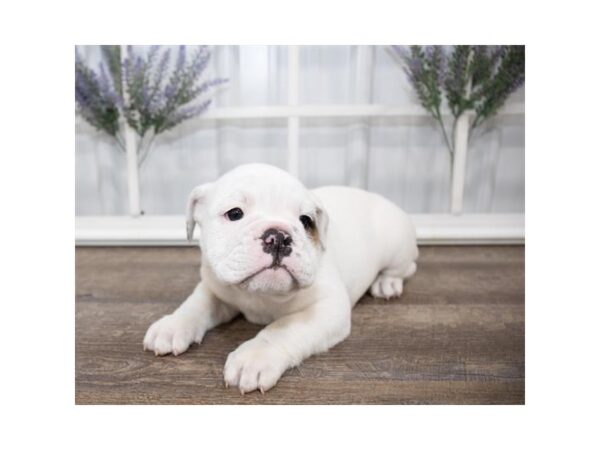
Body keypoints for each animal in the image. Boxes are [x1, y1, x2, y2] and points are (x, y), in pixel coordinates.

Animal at [145, 163, 418, 392]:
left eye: (306, 221)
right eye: (234, 213)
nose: (278, 236)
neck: (260, 295)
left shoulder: (327, 308)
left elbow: (283, 329)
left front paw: (255, 356)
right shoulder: (214, 287)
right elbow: (196, 304)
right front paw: (173, 325)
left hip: (398, 247)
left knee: (407, 267)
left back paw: (386, 283)